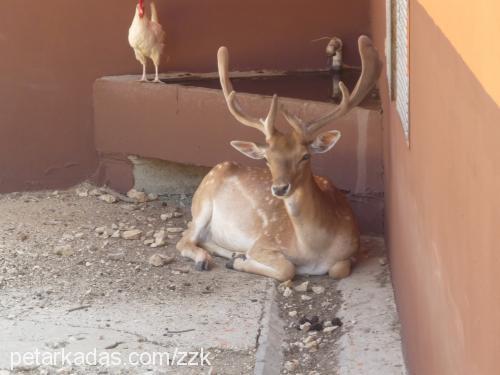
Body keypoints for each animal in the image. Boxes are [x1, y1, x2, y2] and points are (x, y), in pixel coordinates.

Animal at [177, 36, 382, 282]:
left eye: (305, 156)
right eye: (267, 158)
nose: (280, 188)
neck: (313, 251)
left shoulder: (353, 248)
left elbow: (337, 270)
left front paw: (238, 259)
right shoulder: (265, 241)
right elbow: (287, 269)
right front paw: (241, 262)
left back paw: (233, 254)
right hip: (202, 203)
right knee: (185, 238)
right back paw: (207, 259)